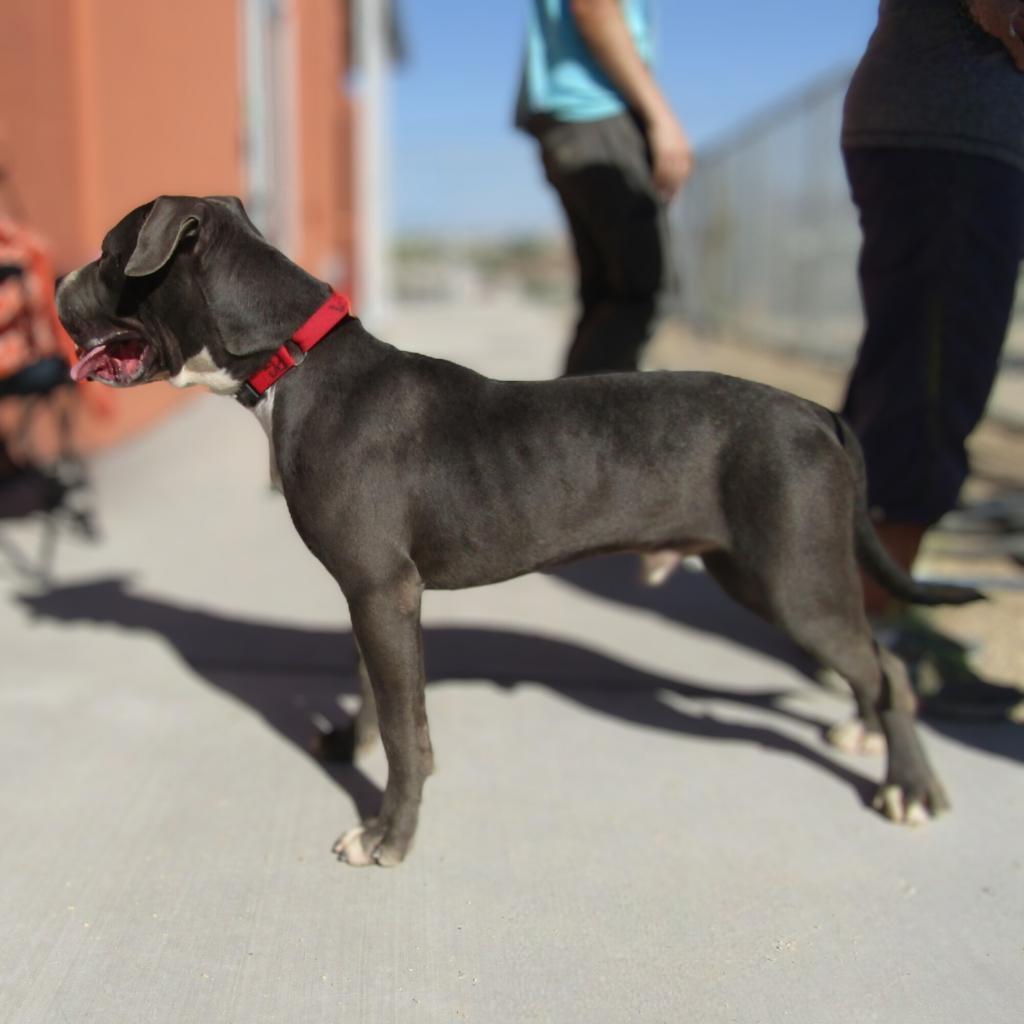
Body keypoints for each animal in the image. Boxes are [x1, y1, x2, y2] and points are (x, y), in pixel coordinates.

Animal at [54, 192, 974, 864]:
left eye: (107, 251)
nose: (58, 285)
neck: (294, 363)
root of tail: (818, 412)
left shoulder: (383, 590)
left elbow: (407, 731)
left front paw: (390, 835)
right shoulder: (371, 593)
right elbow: (374, 691)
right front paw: (347, 742)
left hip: (790, 576)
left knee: (887, 664)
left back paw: (910, 787)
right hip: (757, 569)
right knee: (868, 661)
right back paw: (864, 732)